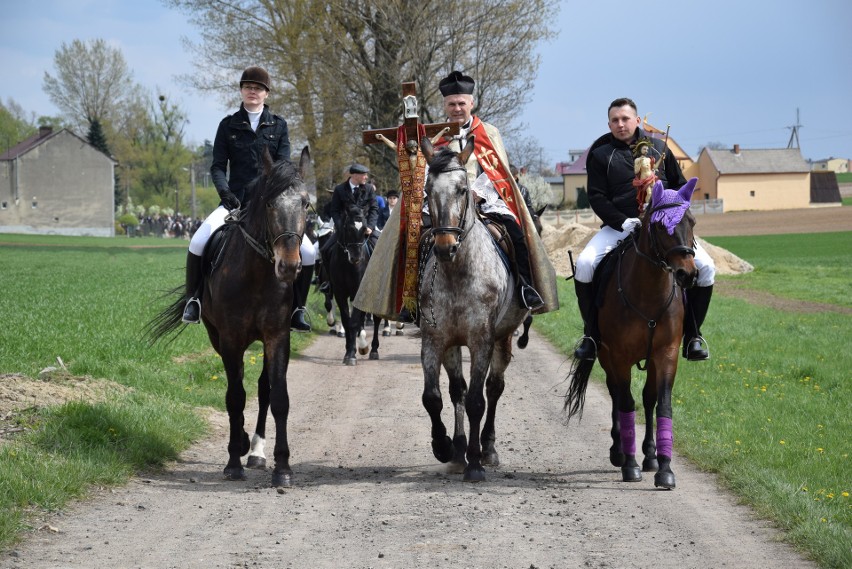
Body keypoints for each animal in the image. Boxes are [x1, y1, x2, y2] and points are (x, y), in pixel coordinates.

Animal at [148, 148, 312, 488]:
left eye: (305, 203)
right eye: (270, 203)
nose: (289, 266)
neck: (257, 274)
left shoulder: (278, 336)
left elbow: (279, 397)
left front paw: (282, 468)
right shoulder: (230, 338)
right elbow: (235, 396)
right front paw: (233, 461)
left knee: (263, 389)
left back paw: (257, 450)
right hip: (217, 336)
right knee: (235, 389)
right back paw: (242, 444)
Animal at [326, 203, 380, 364]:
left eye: (364, 229)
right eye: (348, 228)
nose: (356, 257)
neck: (348, 266)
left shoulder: (358, 291)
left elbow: (354, 321)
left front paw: (352, 353)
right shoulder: (340, 293)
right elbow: (347, 321)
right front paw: (349, 350)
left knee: (376, 319)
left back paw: (373, 350)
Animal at [416, 136, 528, 480]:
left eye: (462, 189)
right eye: (428, 190)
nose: (445, 247)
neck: (459, 273)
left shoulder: (482, 340)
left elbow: (478, 400)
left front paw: (476, 462)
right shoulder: (435, 340)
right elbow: (435, 397)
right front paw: (445, 447)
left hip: (503, 338)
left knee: (494, 388)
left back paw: (487, 449)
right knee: (458, 391)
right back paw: (459, 451)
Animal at [564, 178, 700, 488]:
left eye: (692, 222)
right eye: (661, 226)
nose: (687, 274)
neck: (648, 293)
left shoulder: (666, 354)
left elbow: (661, 404)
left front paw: (664, 469)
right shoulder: (619, 355)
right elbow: (626, 401)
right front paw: (629, 465)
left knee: (647, 398)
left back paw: (650, 456)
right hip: (605, 356)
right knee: (616, 394)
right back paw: (619, 451)